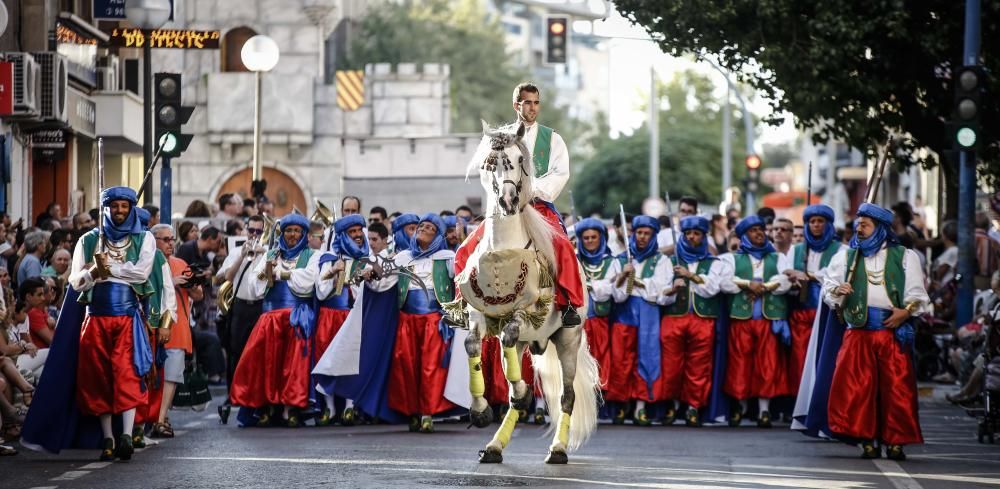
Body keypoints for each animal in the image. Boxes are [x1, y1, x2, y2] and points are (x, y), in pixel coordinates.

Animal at [448, 120, 600, 464]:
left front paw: (520, 392)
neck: (503, 250)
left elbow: (509, 335)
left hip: (568, 339)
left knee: (567, 395)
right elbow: (472, 345)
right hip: (528, 344)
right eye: (490, 162)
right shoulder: (480, 313)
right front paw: (480, 410)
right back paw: (494, 446)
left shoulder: (526, 311)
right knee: (512, 382)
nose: (508, 201)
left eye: (520, 160)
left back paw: (558, 449)